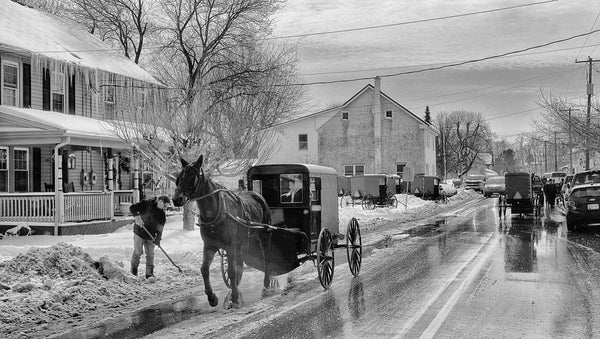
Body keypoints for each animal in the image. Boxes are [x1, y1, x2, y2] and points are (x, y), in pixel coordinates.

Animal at [172, 155, 274, 310]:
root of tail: (257, 195)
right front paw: (212, 297)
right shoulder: (209, 246)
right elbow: (204, 269)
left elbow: (231, 271)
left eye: (191, 176)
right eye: (179, 177)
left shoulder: (230, 246)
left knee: (266, 258)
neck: (214, 213)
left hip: (264, 235)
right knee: (239, 264)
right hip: (241, 242)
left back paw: (266, 285)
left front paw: (235, 298)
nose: (176, 199)